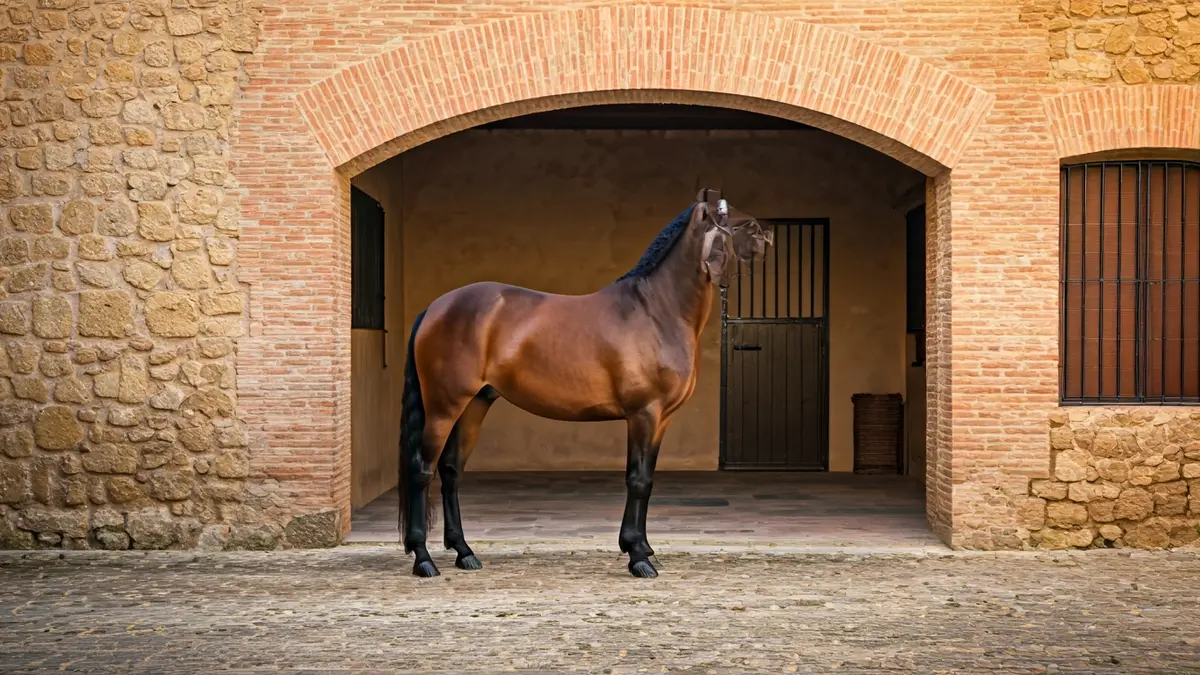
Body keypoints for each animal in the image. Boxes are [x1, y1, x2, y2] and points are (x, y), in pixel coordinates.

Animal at [397, 188, 773, 578]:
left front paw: (643, 548)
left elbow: (648, 480)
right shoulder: (643, 413)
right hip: (443, 407)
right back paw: (423, 559)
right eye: (725, 213)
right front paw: (637, 557)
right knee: (421, 470)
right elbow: (637, 479)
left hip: (474, 404)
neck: (656, 311)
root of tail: (434, 308)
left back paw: (464, 552)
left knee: (451, 471)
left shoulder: (662, 419)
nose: (765, 235)